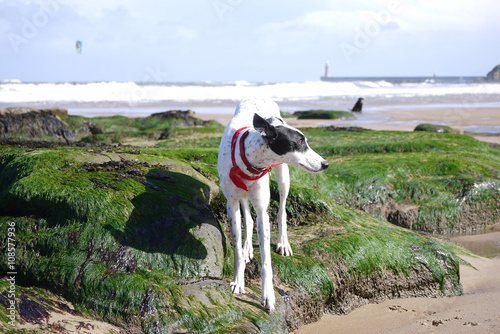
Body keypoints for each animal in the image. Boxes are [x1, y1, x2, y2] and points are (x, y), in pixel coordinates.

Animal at [218, 98, 328, 310]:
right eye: (300, 142)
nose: (325, 164)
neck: (248, 159)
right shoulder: (231, 205)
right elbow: (236, 249)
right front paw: (238, 281)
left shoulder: (263, 210)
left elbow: (266, 261)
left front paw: (268, 295)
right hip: (244, 196)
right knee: (248, 218)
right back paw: (247, 248)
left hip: (284, 177)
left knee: (282, 212)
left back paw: (283, 243)